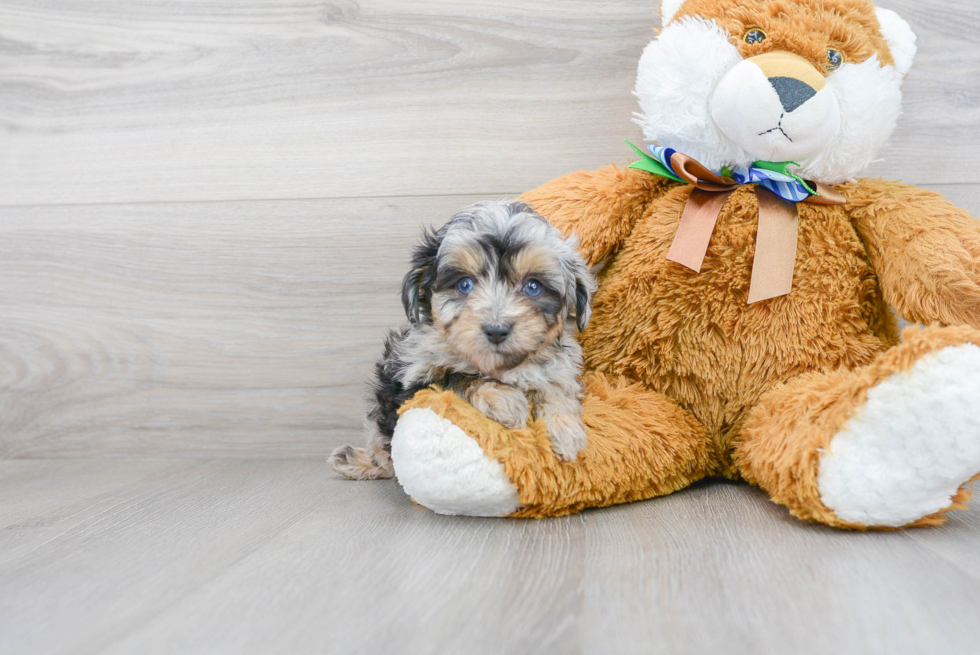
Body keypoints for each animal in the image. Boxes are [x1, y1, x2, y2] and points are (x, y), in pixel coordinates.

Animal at [332, 201, 596, 482]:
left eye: (533, 287)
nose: (496, 330)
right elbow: (456, 377)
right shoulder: (410, 382)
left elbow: (557, 389)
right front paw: (503, 399)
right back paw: (355, 461)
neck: (501, 367)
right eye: (464, 284)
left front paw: (565, 430)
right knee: (384, 453)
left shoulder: (558, 370)